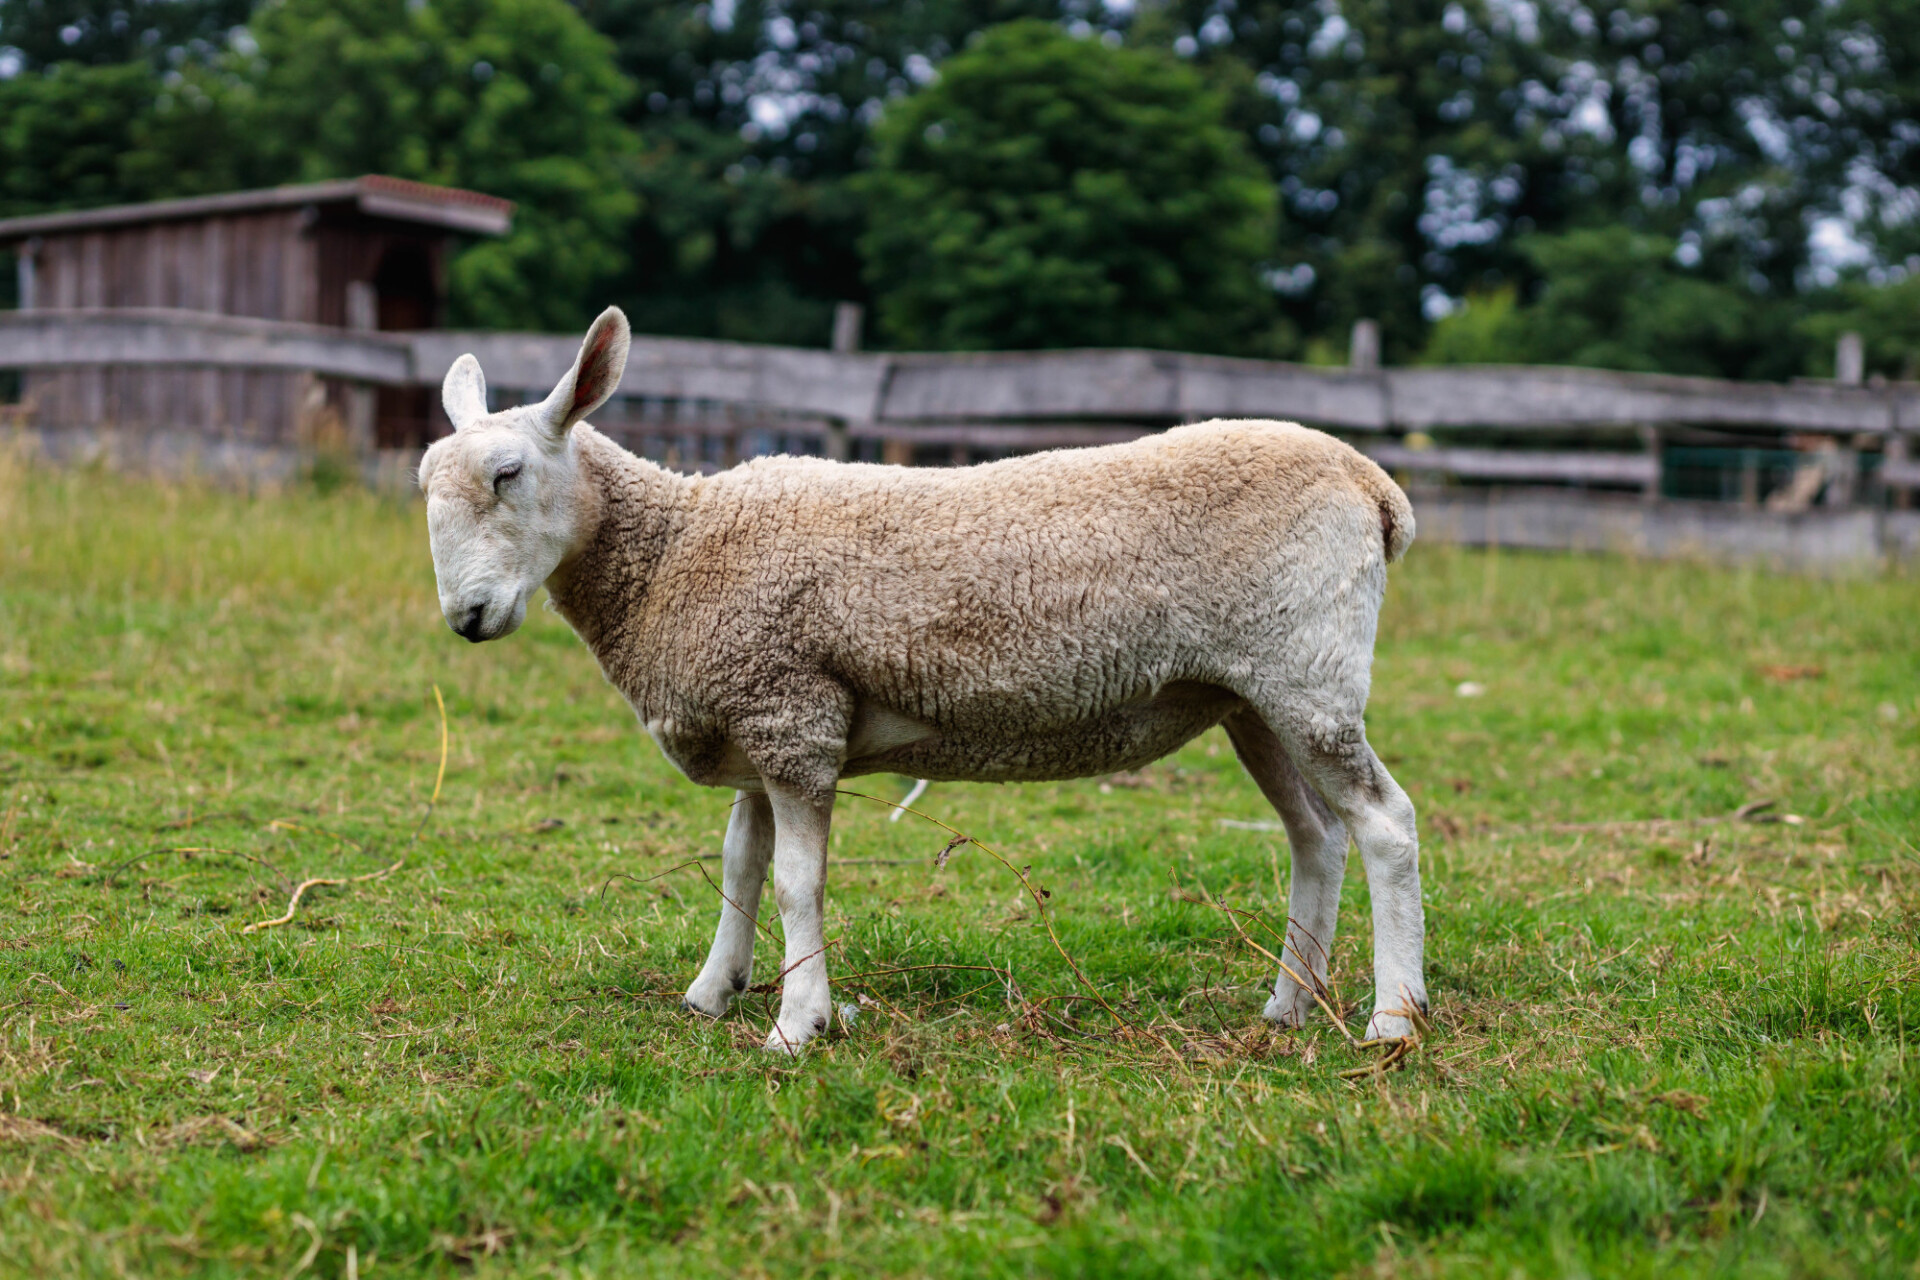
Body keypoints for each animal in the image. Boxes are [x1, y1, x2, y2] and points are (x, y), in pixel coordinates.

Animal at [420, 310, 1428, 1051]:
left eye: (507, 473)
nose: (466, 618)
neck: (677, 548)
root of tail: (1374, 485)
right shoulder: (757, 714)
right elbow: (740, 867)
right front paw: (714, 991)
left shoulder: (793, 716)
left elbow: (797, 883)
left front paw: (798, 1024)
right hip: (1254, 696)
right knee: (1316, 837)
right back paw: (1290, 1004)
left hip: (1308, 671)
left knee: (1385, 825)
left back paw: (1391, 1018)